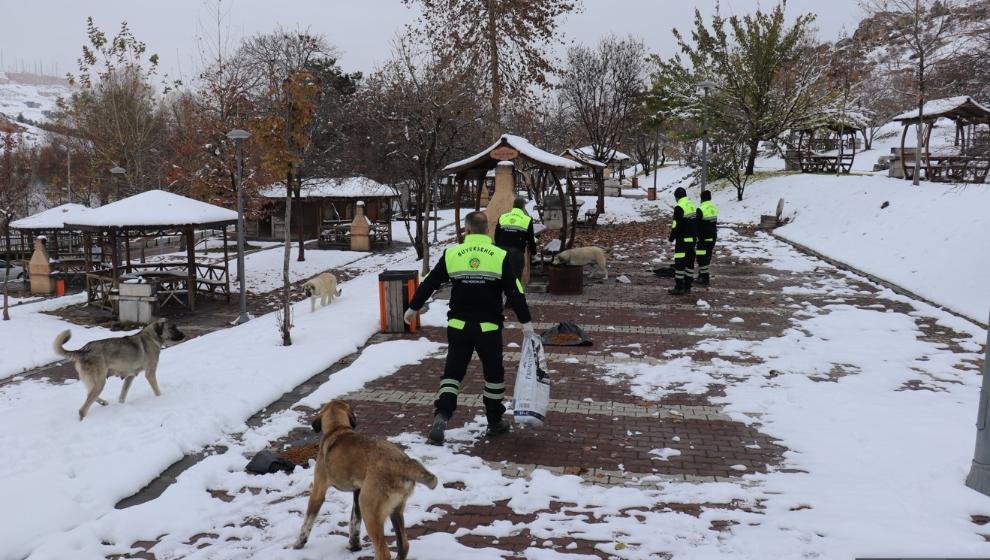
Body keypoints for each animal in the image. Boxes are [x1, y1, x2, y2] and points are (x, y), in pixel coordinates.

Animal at [53, 320, 186, 420]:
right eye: (173, 328)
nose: (184, 336)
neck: (152, 336)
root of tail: (83, 350)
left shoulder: (130, 376)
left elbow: (123, 395)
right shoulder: (150, 373)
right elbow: (157, 391)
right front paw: (161, 399)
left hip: (94, 381)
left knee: (89, 395)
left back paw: (103, 402)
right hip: (100, 381)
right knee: (83, 408)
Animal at [290, 400, 438, 556]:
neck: (337, 428)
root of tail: (403, 463)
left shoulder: (318, 490)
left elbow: (307, 521)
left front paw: (298, 544)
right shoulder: (357, 492)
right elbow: (354, 521)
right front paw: (354, 545)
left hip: (370, 510)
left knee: (384, 552)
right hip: (395, 509)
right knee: (404, 545)